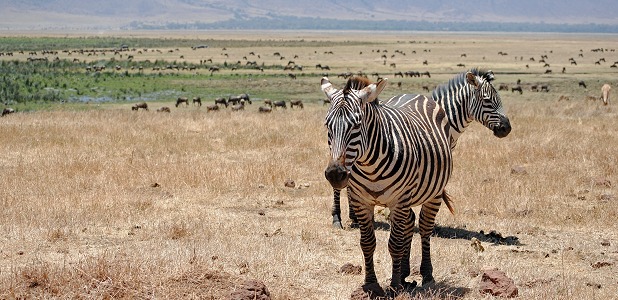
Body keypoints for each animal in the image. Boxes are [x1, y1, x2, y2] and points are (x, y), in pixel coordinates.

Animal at [322, 76, 452, 292]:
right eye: (327, 124)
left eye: (357, 124)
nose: (335, 175)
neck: (370, 166)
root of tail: (414, 95)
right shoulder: (360, 201)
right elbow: (367, 243)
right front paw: (372, 284)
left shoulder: (398, 200)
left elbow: (395, 244)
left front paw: (395, 286)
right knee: (409, 223)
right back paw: (406, 273)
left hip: (434, 192)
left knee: (425, 227)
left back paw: (426, 274)